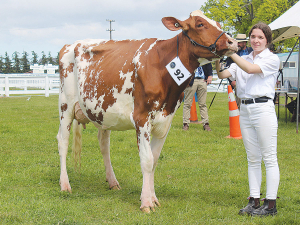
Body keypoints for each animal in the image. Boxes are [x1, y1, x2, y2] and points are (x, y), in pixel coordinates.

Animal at [57, 9, 238, 213]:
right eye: (200, 24)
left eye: (218, 24)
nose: (232, 42)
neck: (163, 67)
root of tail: (70, 44)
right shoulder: (141, 118)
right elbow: (147, 159)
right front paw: (146, 202)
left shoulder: (166, 119)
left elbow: (155, 159)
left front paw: (153, 198)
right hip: (66, 105)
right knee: (62, 141)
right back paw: (65, 184)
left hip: (102, 112)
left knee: (104, 145)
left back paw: (112, 182)